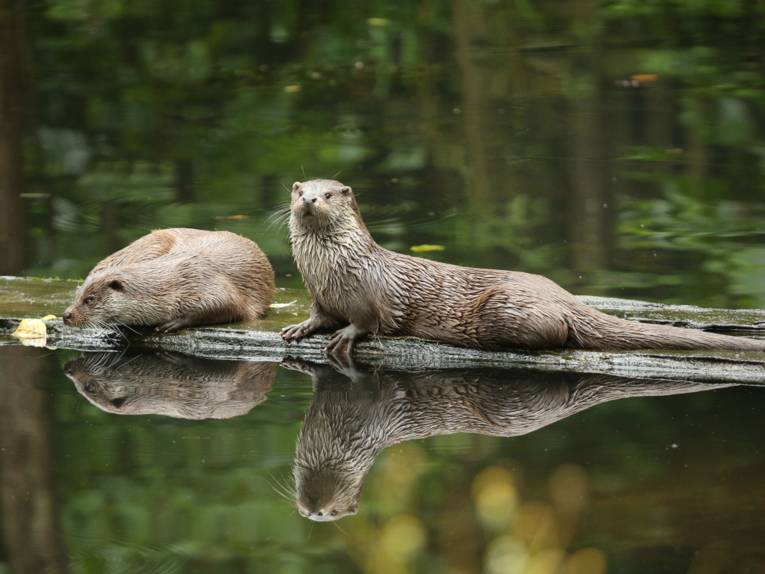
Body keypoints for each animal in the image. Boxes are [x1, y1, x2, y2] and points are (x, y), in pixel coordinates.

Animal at [62, 228, 274, 332]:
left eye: (89, 300)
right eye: (76, 296)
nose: (66, 315)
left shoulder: (205, 281)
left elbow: (229, 306)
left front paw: (173, 323)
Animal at [280, 181, 764, 356]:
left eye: (329, 194)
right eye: (302, 190)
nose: (310, 199)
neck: (330, 268)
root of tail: (563, 295)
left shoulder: (371, 294)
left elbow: (368, 321)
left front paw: (346, 336)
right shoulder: (320, 294)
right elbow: (319, 316)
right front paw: (301, 328)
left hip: (506, 308)